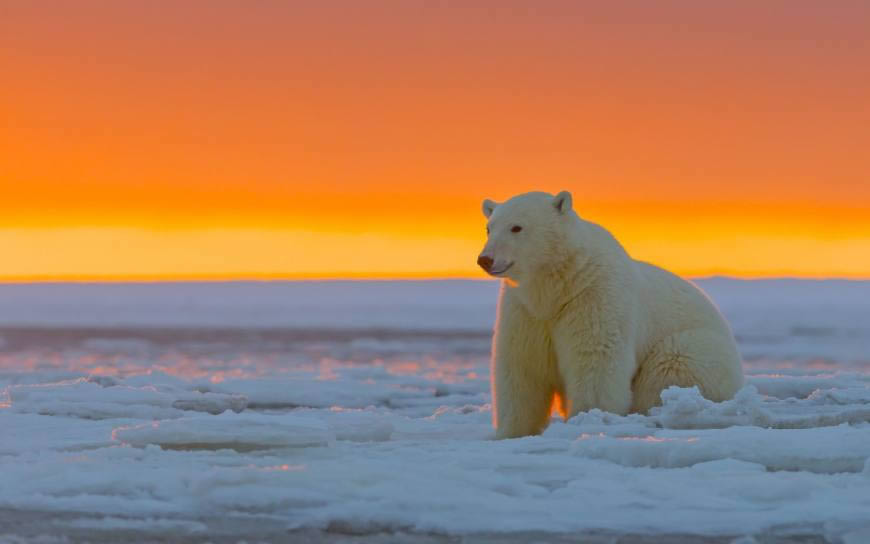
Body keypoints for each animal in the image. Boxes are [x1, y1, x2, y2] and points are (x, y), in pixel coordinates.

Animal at [480, 191, 744, 438]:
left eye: (517, 227)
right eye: (489, 228)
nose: (485, 259)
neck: (557, 286)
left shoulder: (593, 296)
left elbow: (595, 360)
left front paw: (589, 417)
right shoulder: (525, 310)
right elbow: (521, 367)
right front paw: (511, 432)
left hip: (697, 349)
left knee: (671, 366)